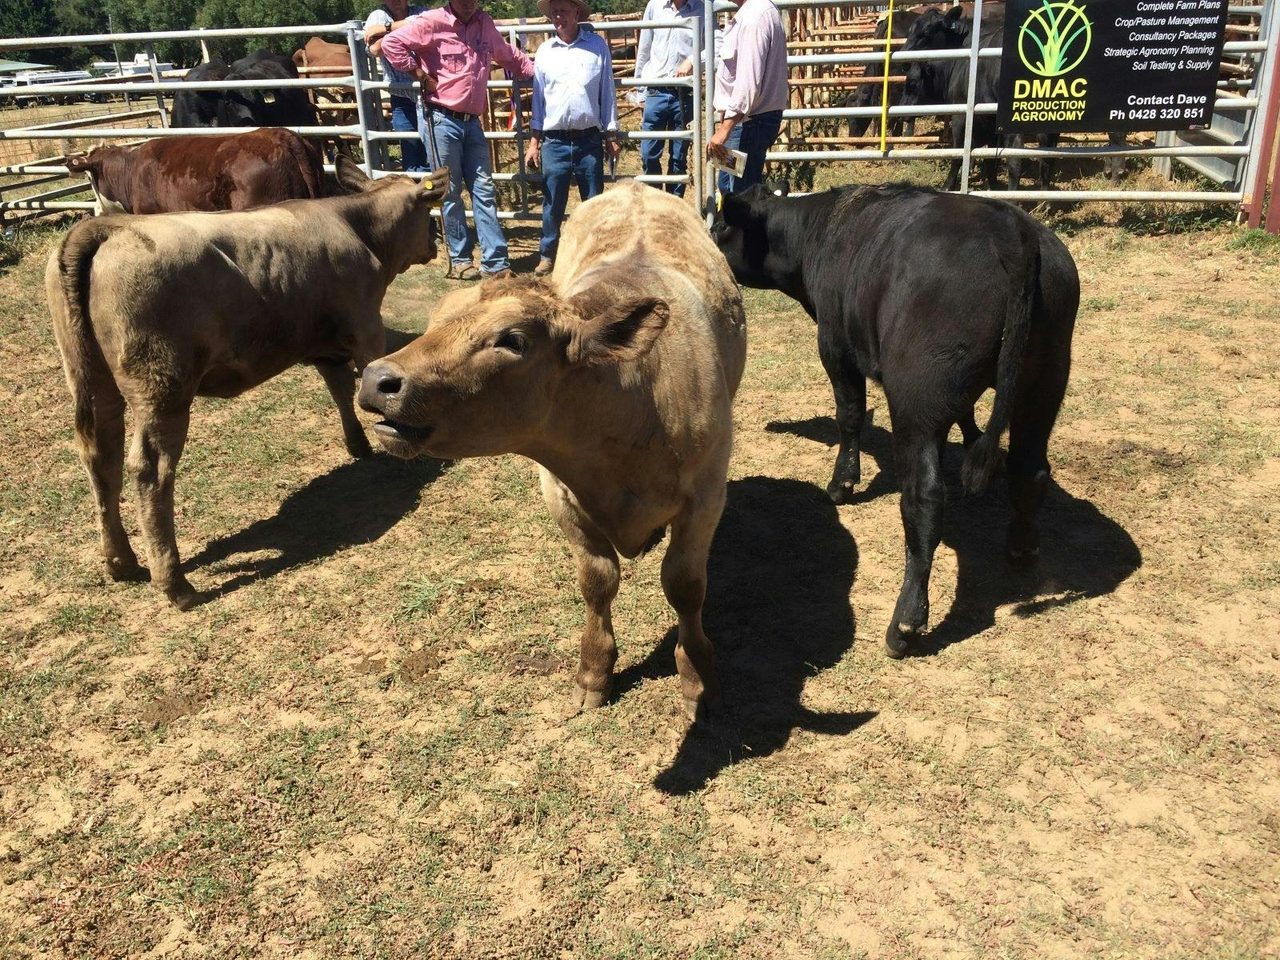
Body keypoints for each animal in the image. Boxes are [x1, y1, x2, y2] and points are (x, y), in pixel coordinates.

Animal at [46, 156, 447, 610]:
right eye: (428, 212)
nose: (435, 244)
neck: (354, 225)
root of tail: (106, 229)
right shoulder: (366, 328)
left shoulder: (322, 341)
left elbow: (340, 389)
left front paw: (357, 445)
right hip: (162, 387)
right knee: (150, 468)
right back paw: (175, 584)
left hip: (90, 378)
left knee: (101, 457)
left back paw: (120, 561)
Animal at [358, 182, 748, 722]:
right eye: (436, 319)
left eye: (512, 339)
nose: (376, 379)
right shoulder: (560, 494)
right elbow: (597, 580)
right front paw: (594, 672)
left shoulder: (706, 498)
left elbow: (685, 586)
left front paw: (696, 679)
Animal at [712, 183, 1079, 657]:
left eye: (721, 226)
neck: (819, 231)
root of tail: (1011, 228)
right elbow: (968, 418)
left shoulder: (837, 347)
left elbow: (849, 416)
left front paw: (842, 484)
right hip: (1043, 388)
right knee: (1030, 472)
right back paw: (1020, 548)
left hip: (917, 402)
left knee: (924, 499)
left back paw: (904, 622)